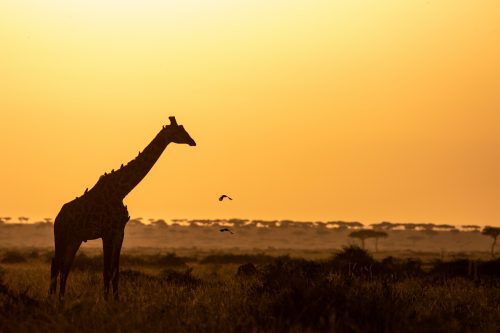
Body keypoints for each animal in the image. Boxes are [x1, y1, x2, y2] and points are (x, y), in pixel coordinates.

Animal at [49, 116, 195, 298]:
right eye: (178, 131)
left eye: (184, 128)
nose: (193, 141)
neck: (121, 191)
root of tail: (57, 217)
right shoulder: (106, 232)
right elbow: (106, 271)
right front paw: (105, 300)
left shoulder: (119, 232)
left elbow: (115, 271)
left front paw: (116, 299)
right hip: (61, 235)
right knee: (56, 264)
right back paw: (52, 298)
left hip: (74, 239)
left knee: (65, 266)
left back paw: (61, 298)